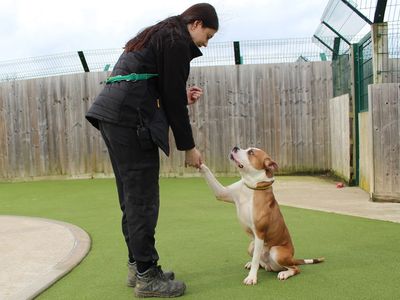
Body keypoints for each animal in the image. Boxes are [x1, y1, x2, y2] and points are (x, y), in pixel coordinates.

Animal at [198, 146, 324, 284]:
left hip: (276, 252)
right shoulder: (221, 192)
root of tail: (293, 257)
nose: (235, 147)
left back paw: (284, 273)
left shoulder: (259, 233)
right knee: (261, 261)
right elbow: (209, 173)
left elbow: (255, 259)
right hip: (251, 246)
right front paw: (199, 163)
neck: (252, 187)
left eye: (251, 152)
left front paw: (252, 278)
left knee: (295, 268)